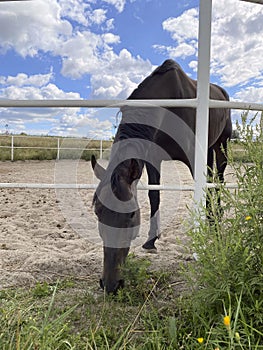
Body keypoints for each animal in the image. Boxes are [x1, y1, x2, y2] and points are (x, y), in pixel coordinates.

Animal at [92, 59, 232, 292]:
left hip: (222, 145)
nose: (110, 284)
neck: (168, 105)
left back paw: (215, 219)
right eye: (97, 212)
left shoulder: (193, 157)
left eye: (131, 214)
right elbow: (154, 196)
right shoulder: (152, 159)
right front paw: (151, 240)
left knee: (218, 180)